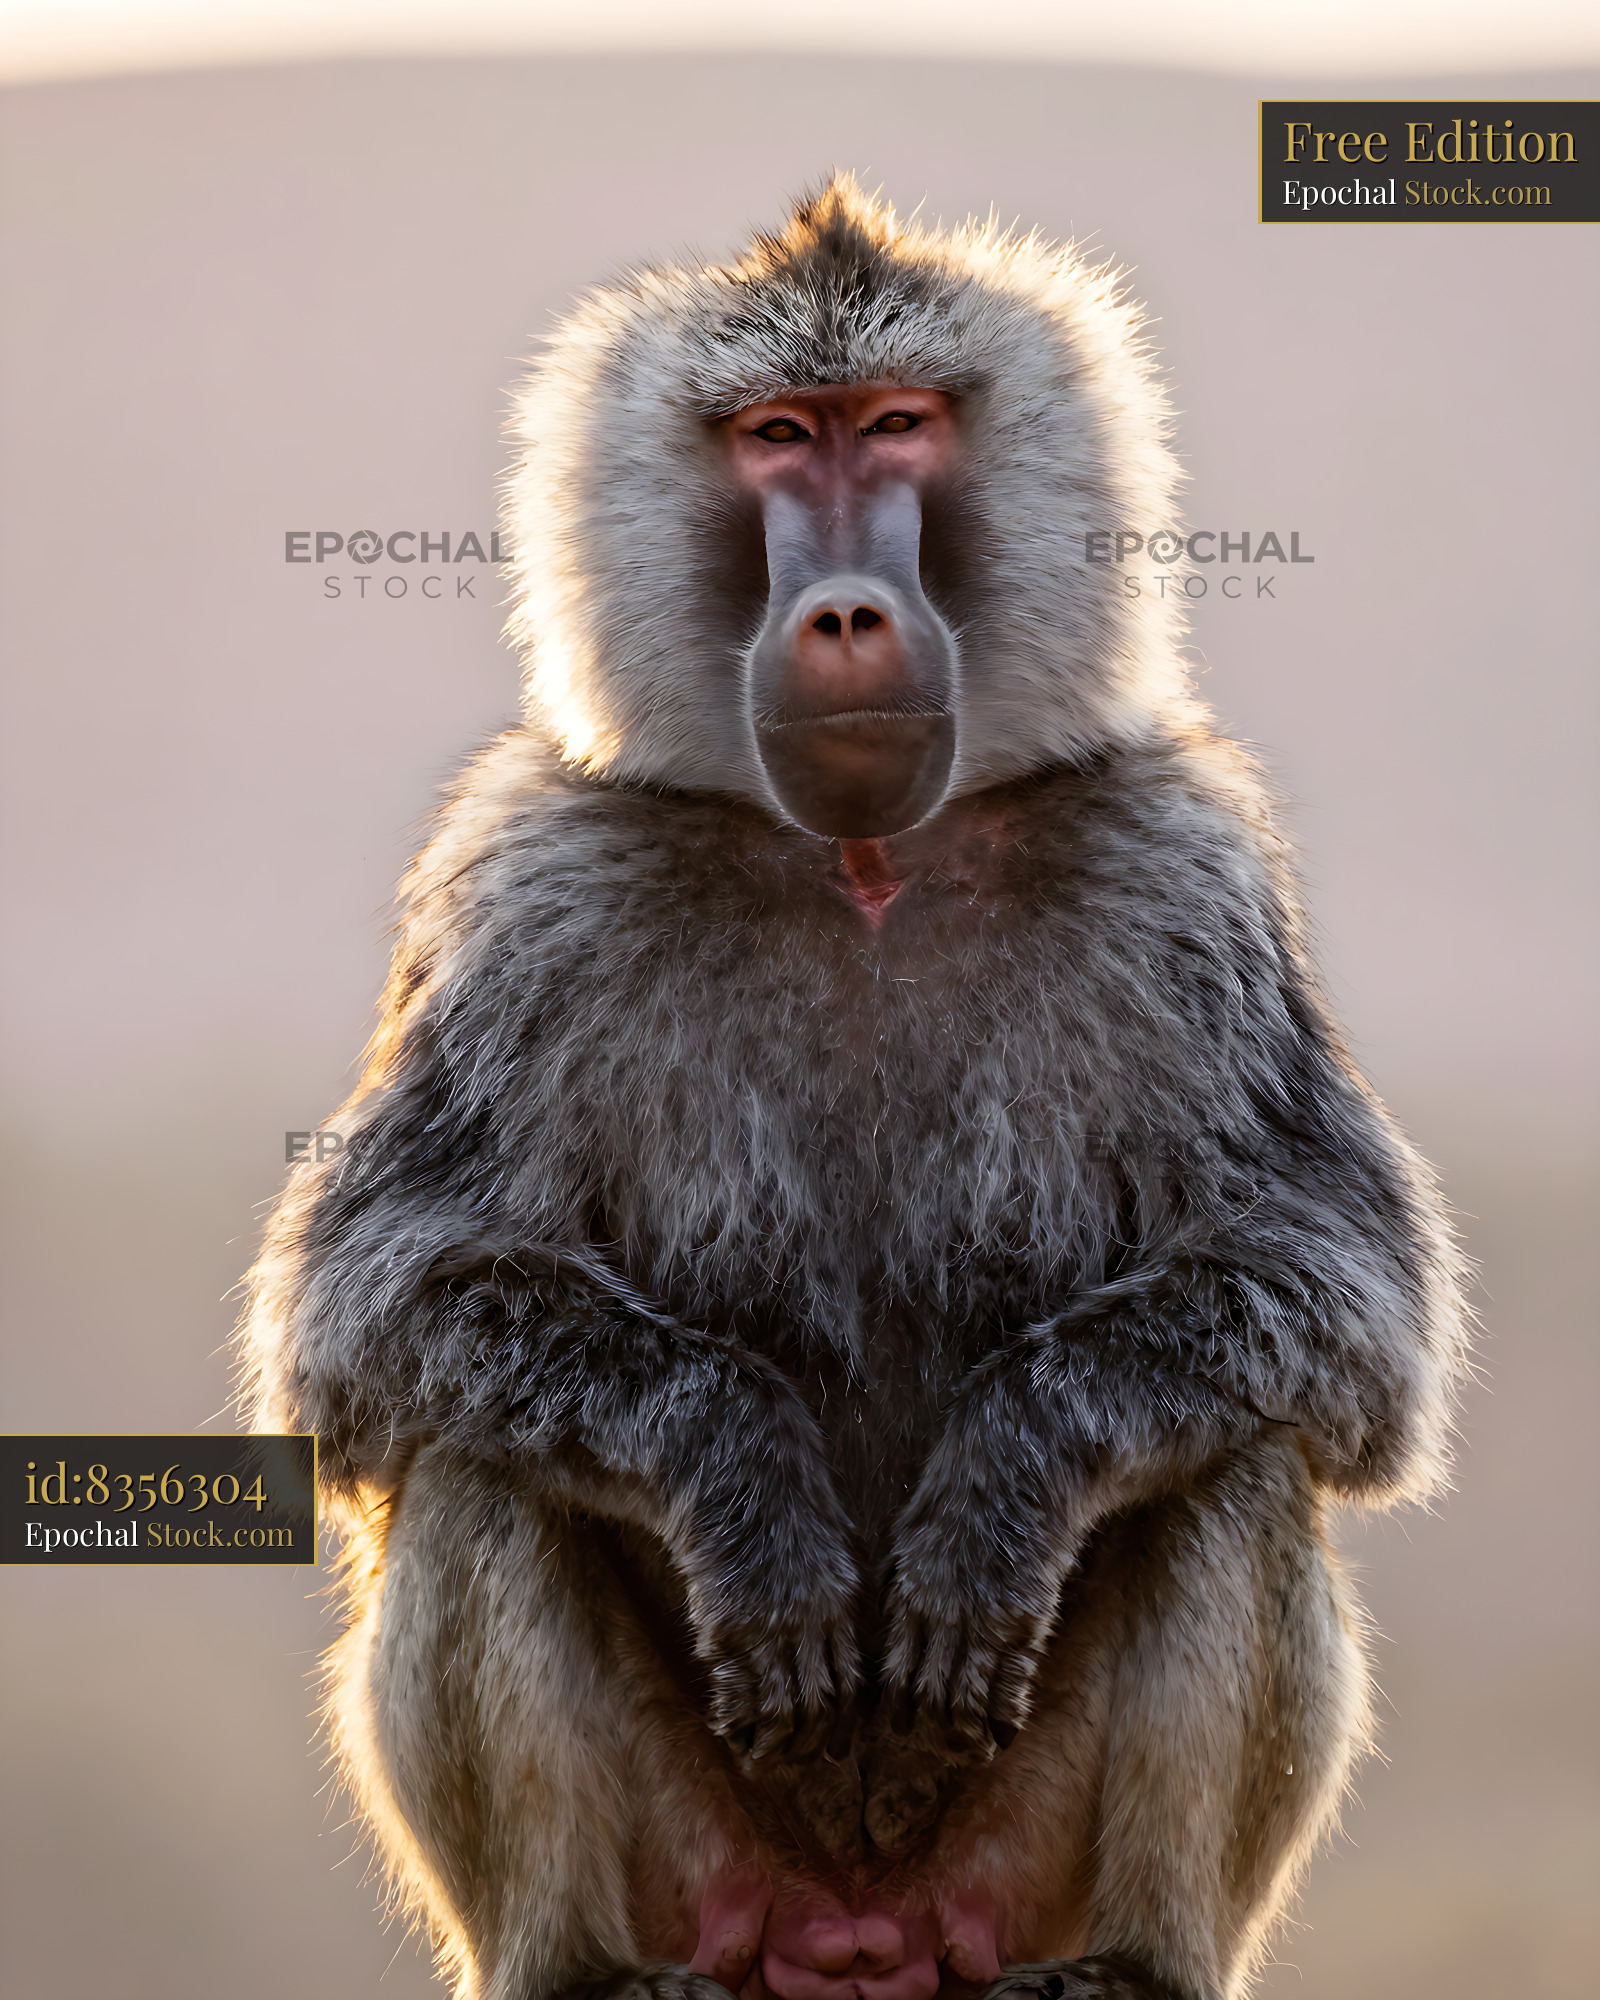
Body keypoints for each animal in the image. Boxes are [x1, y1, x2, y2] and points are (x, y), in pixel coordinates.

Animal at [240, 177, 1467, 2000]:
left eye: (895, 428)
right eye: (775, 439)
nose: (842, 615)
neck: (866, 864)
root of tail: (858, 1936)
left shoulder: (1187, 880)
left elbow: (1337, 1297)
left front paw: (1004, 1485)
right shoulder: (527, 895)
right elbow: (373, 1314)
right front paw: (740, 1482)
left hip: (1013, 1868)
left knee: (1240, 1449)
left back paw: (1136, 1960)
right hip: (700, 1866)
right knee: (477, 1456)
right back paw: (582, 1964)